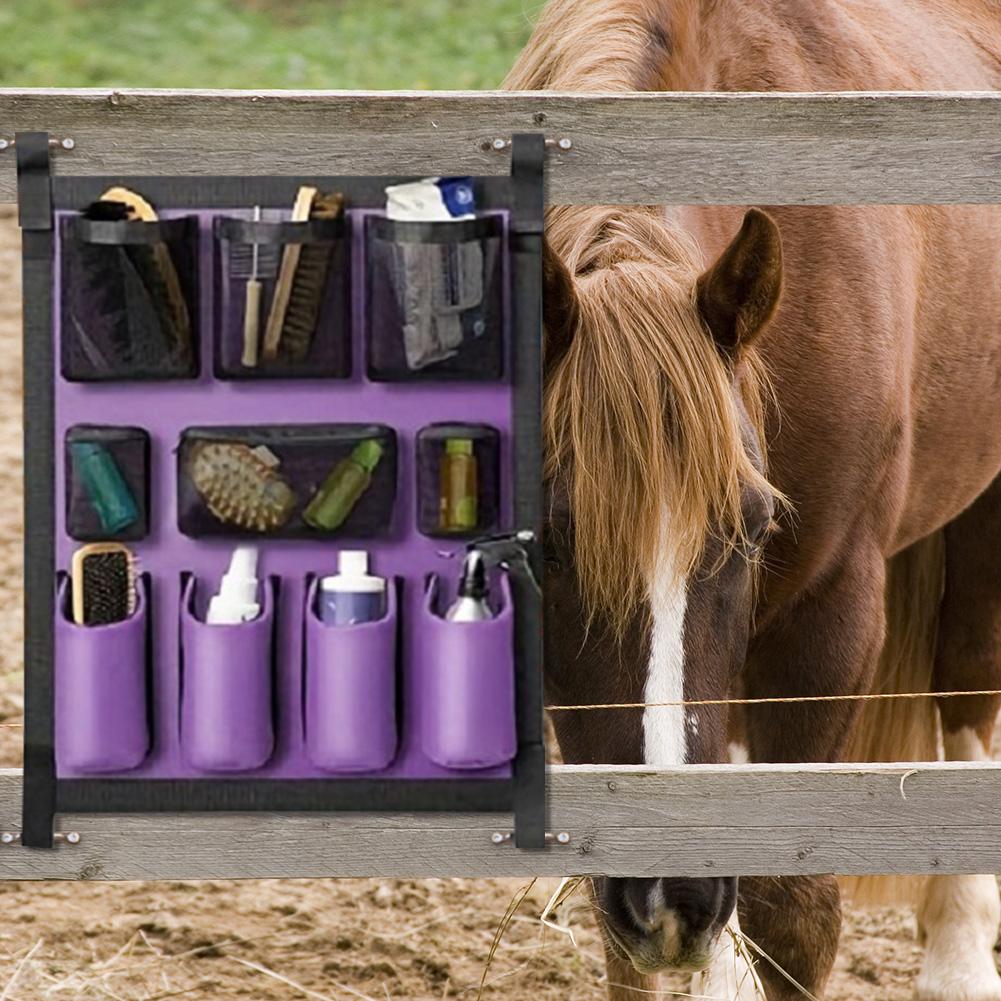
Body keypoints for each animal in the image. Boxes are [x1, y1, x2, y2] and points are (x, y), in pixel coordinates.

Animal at [503, 2, 1001, 998]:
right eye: (548, 544)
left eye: (755, 527)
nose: (672, 896)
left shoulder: (826, 616)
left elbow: (791, 911)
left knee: (969, 683)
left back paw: (960, 955)